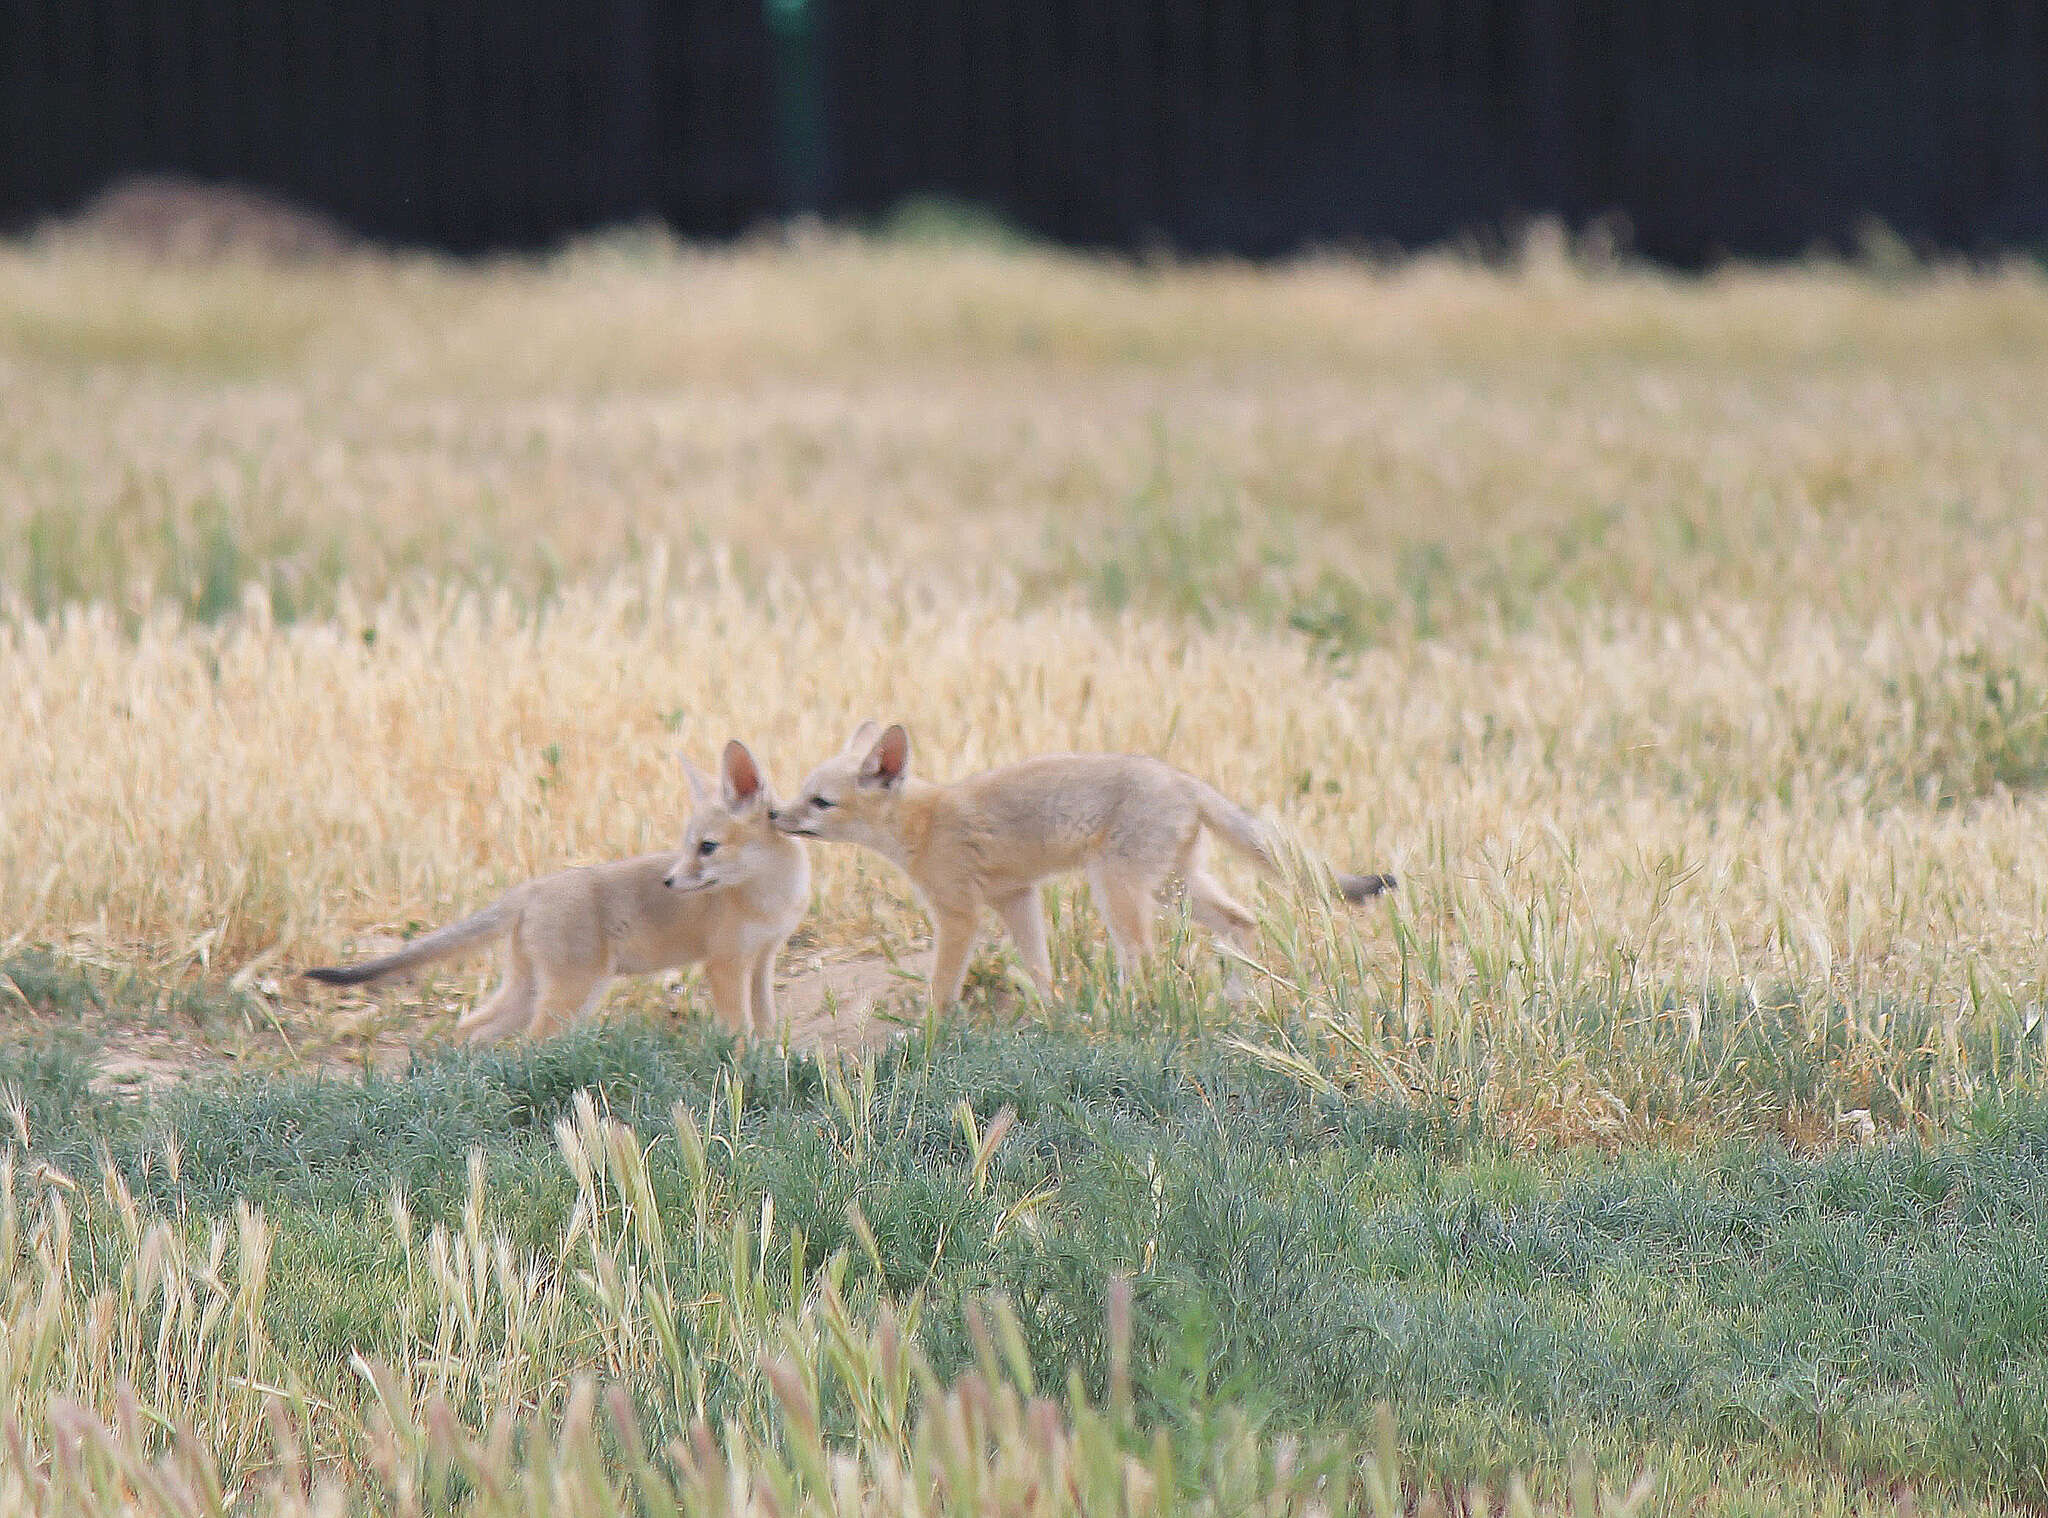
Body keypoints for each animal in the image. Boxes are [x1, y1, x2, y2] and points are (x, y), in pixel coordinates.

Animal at [303, 737, 806, 1040]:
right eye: (690, 847)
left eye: (707, 847)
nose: (669, 880)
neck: (771, 896)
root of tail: (530, 888)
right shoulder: (724, 965)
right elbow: (740, 1030)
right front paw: (742, 1067)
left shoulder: (761, 961)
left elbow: (766, 1028)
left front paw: (768, 1064)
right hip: (571, 994)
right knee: (526, 1043)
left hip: (529, 992)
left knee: (469, 1032)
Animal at [770, 721, 1392, 1012]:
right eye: (803, 795)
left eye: (819, 802)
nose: (775, 814)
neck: (923, 821)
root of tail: (1182, 778)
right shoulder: (1015, 896)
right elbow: (1040, 969)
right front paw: (1052, 1015)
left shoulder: (959, 914)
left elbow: (943, 986)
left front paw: (928, 1031)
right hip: (1174, 888)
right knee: (1243, 922)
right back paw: (1237, 998)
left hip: (1116, 889)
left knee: (1145, 962)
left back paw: (1131, 1012)